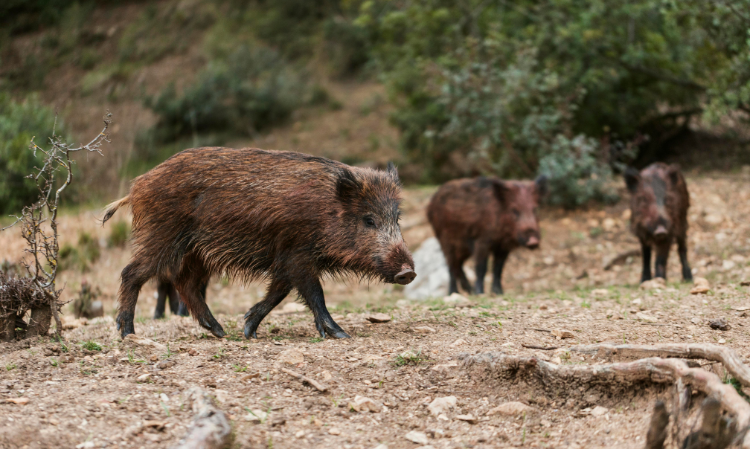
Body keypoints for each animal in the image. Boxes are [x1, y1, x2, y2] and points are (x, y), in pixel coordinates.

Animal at [102, 147, 415, 339]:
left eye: (397, 218)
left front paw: (248, 329)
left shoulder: (286, 260)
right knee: (131, 273)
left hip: (197, 253)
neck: (322, 212)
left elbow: (279, 292)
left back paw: (220, 331)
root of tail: (137, 186)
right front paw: (341, 334)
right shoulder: (297, 254)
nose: (408, 272)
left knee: (186, 283)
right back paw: (128, 332)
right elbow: (314, 294)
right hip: (162, 237)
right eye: (369, 220)